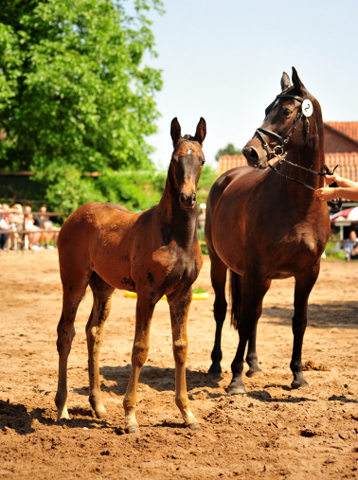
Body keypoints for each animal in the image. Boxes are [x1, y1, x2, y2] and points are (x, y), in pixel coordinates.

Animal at [56, 117, 207, 436]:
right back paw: (62, 407)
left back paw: (98, 406)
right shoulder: (147, 294)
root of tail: (74, 215)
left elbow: (181, 348)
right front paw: (130, 418)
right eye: (175, 159)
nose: (188, 198)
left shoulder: (182, 295)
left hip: (103, 288)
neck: (175, 236)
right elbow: (140, 349)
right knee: (66, 332)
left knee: (93, 333)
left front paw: (187, 414)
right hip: (74, 282)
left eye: (201, 160)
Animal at [206, 69, 332, 396]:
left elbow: (299, 320)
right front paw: (235, 379)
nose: (250, 151)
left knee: (257, 313)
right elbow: (245, 318)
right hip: (220, 264)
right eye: (266, 109)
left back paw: (253, 364)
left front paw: (298, 375)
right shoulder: (257, 269)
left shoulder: (308, 273)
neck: (300, 203)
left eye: (287, 111)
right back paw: (217, 366)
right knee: (222, 310)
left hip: (257, 277)